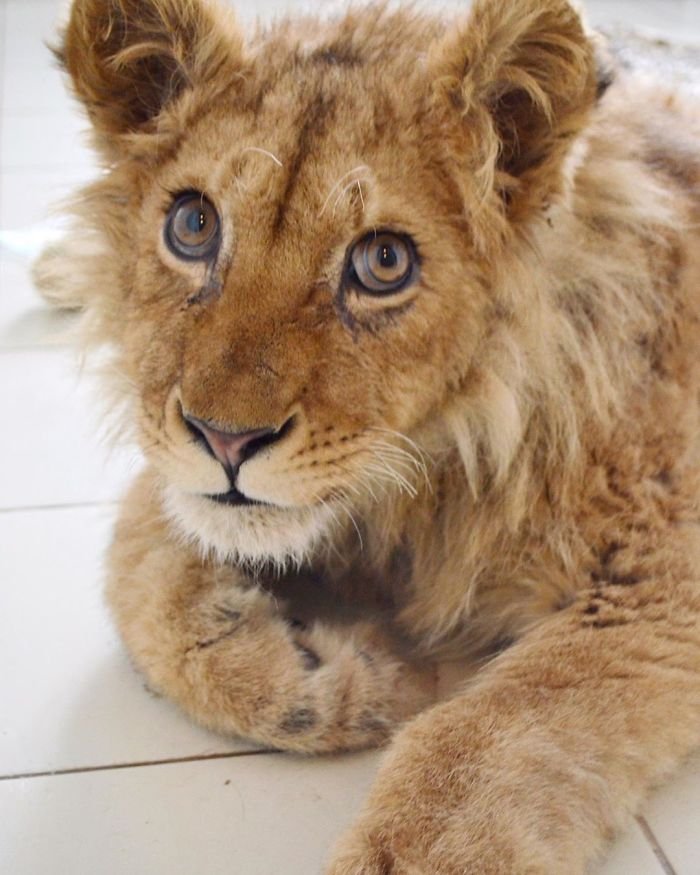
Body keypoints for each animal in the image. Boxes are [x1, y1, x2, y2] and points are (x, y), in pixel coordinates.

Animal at [36, 0, 700, 871]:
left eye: (383, 261)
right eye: (193, 225)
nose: (224, 440)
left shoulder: (662, 570)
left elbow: (496, 731)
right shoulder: (172, 467)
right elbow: (140, 580)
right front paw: (315, 674)